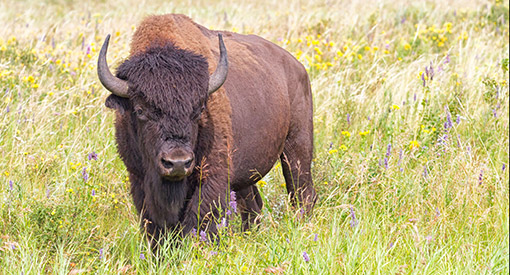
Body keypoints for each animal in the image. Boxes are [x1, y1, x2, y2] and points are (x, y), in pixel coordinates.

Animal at [97, 14, 316, 243]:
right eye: (140, 110)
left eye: (199, 109)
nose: (177, 163)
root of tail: (298, 67)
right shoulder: (138, 177)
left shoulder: (212, 175)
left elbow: (200, 217)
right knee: (253, 204)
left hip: (297, 148)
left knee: (301, 192)